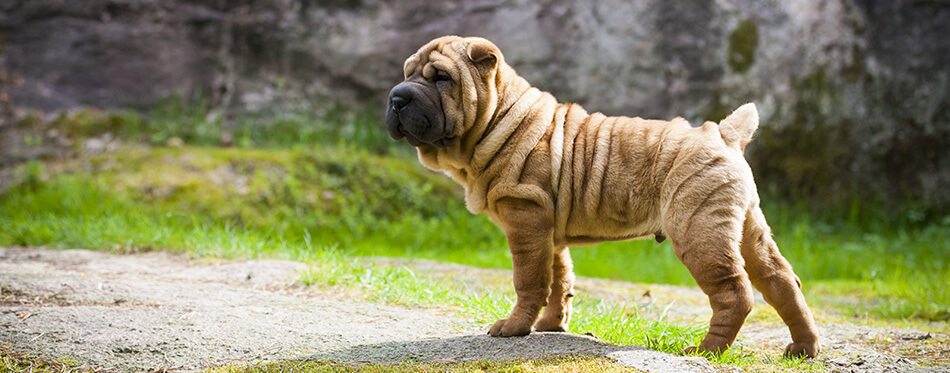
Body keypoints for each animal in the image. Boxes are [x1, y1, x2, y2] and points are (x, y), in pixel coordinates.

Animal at [384, 35, 820, 358]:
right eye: (406, 74)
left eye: (441, 78)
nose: (396, 97)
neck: (499, 120)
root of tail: (724, 133)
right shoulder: (548, 230)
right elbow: (559, 279)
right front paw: (551, 326)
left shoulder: (525, 218)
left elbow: (529, 281)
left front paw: (514, 328)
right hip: (747, 226)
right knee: (782, 281)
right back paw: (802, 348)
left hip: (699, 229)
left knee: (734, 292)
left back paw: (705, 350)